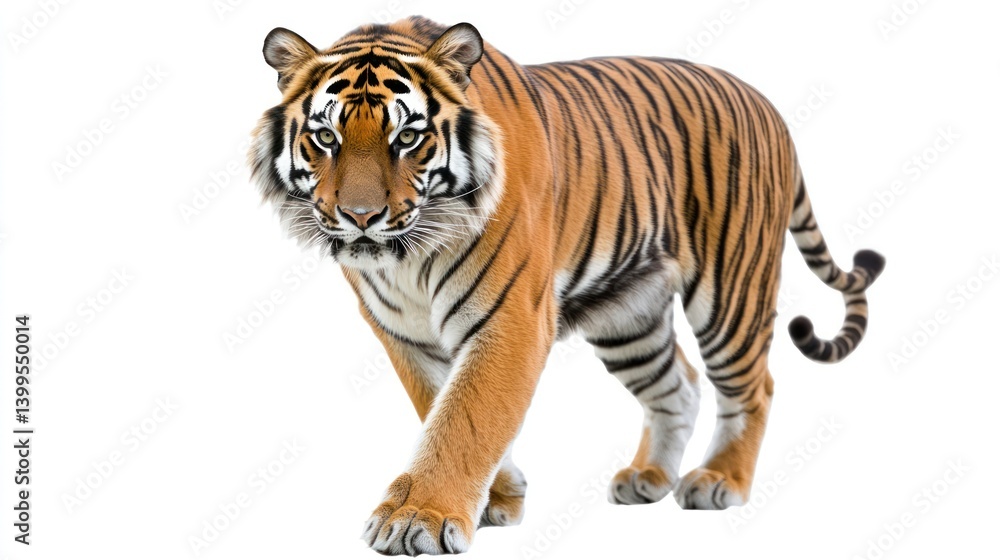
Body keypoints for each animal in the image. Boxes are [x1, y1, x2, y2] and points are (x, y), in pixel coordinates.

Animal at [248, 15, 884, 555]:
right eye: (325, 138)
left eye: (406, 138)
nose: (360, 217)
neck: (406, 257)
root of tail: (765, 102)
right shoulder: (402, 333)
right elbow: (440, 406)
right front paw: (498, 497)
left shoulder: (511, 317)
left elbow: (465, 416)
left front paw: (418, 519)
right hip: (630, 315)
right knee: (679, 385)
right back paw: (649, 478)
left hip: (731, 293)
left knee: (755, 388)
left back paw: (718, 480)